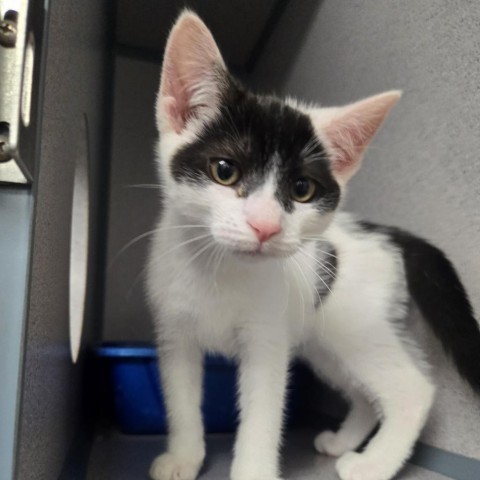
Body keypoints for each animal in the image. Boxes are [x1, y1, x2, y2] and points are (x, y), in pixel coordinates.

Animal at [147, 10, 480, 480]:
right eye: (224, 171)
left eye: (302, 190)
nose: (265, 226)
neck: (222, 273)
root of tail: (391, 232)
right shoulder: (175, 334)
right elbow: (181, 402)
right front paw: (183, 457)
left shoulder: (267, 342)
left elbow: (262, 418)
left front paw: (252, 471)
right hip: (323, 342)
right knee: (363, 394)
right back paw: (341, 441)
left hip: (358, 328)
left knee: (413, 389)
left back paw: (372, 464)